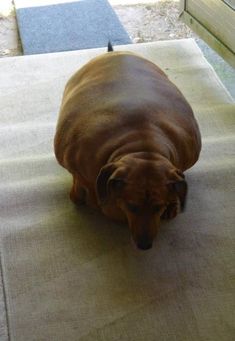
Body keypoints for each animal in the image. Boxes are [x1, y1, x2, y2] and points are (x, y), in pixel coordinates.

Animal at [54, 43, 201, 248]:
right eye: (132, 206)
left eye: (159, 206)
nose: (145, 245)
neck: (142, 145)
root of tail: (113, 52)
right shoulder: (76, 168)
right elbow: (79, 187)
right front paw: (82, 196)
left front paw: (173, 204)